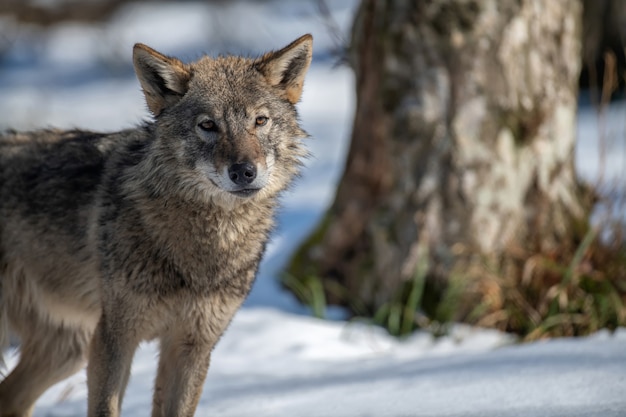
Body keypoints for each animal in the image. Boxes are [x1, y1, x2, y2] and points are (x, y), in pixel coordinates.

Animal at [0, 35, 312, 416]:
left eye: (260, 120)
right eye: (208, 125)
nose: (243, 172)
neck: (202, 250)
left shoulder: (193, 344)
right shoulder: (115, 336)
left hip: (68, 349)